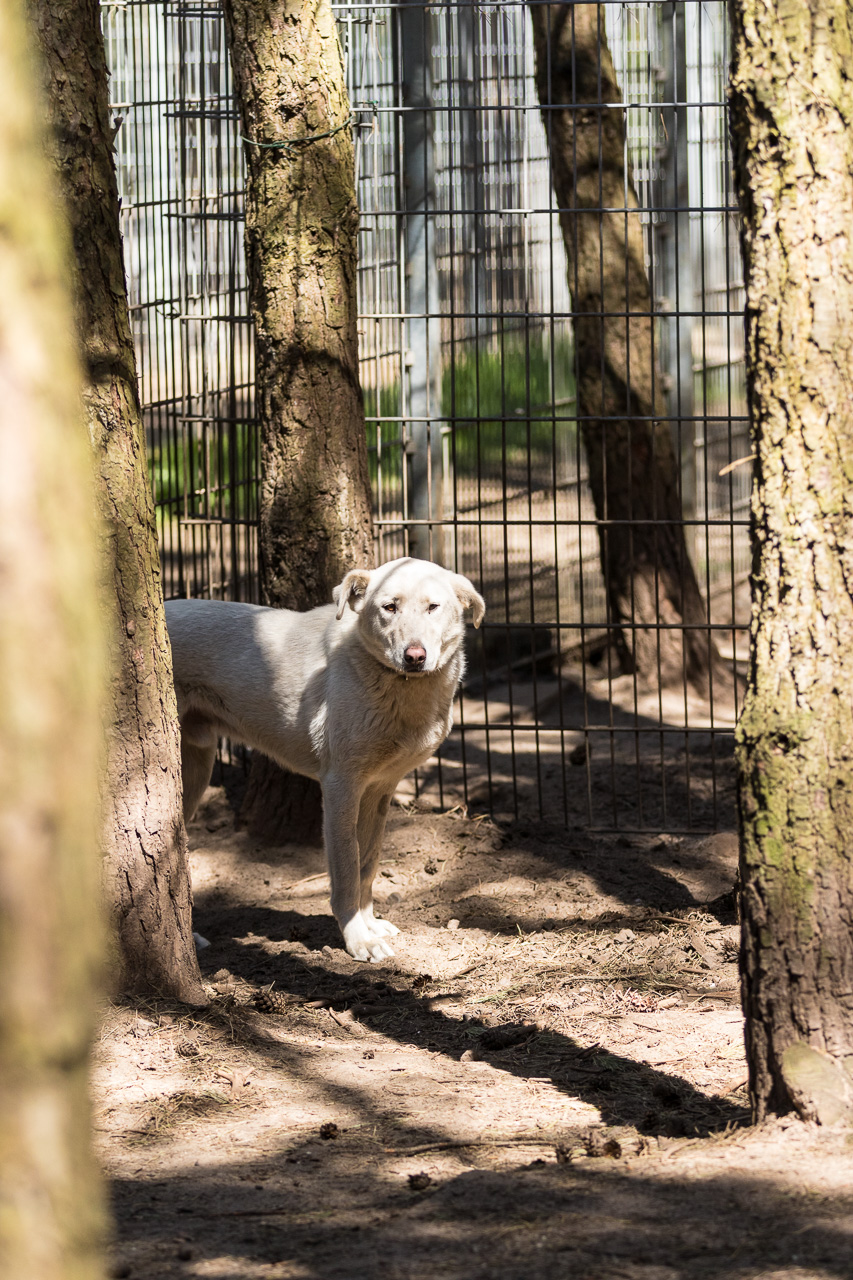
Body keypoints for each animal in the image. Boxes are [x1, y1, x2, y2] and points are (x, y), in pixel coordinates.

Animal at [165, 558, 485, 962]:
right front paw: (358, 940)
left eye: (433, 607)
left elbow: (368, 864)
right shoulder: (340, 787)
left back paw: (189, 937)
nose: (415, 657)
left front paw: (371, 924)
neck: (399, 689)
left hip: (194, 774)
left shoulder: (379, 790)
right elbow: (347, 869)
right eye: (389, 607)